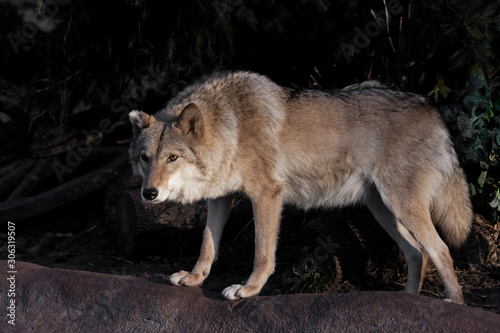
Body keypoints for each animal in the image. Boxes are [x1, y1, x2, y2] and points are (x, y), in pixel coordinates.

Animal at [128, 70, 472, 304]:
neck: (231, 126)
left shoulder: (267, 194)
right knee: (417, 254)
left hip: (402, 206)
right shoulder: (221, 198)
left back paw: (453, 303)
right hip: (384, 210)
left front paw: (248, 289)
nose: (149, 193)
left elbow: (262, 252)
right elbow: (207, 245)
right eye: (146, 158)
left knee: (440, 249)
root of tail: (431, 109)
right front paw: (194, 278)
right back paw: (407, 300)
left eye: (172, 157)